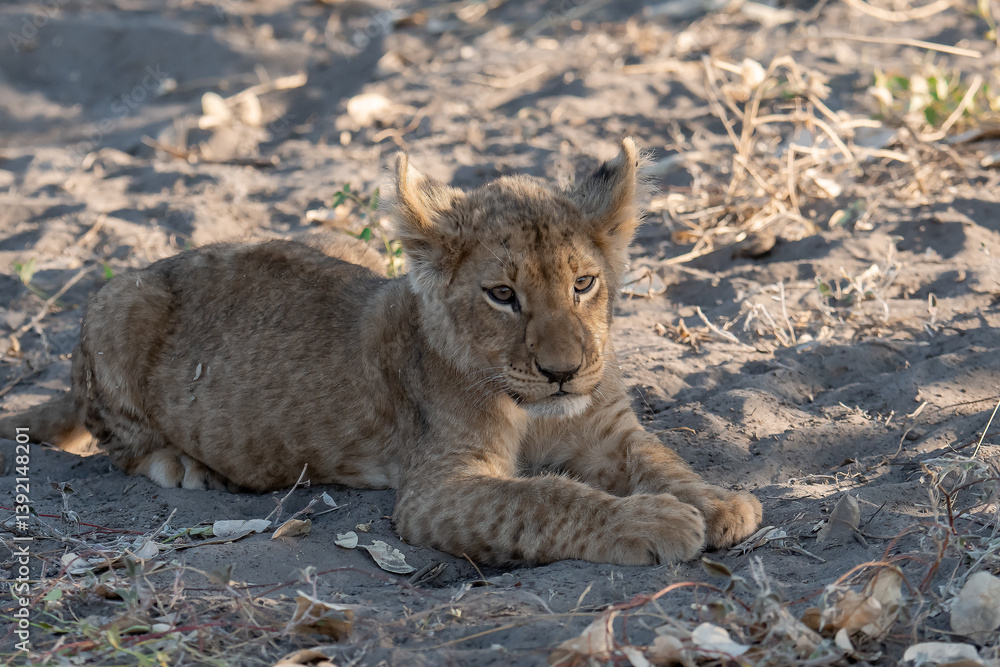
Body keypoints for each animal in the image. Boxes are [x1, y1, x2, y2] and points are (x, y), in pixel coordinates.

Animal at [1, 138, 762, 565]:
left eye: (583, 283)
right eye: (502, 294)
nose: (564, 372)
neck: (537, 412)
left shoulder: (609, 433)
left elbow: (661, 459)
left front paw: (720, 502)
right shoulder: (436, 489)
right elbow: (547, 497)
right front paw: (654, 519)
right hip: (118, 304)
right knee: (116, 439)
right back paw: (180, 465)